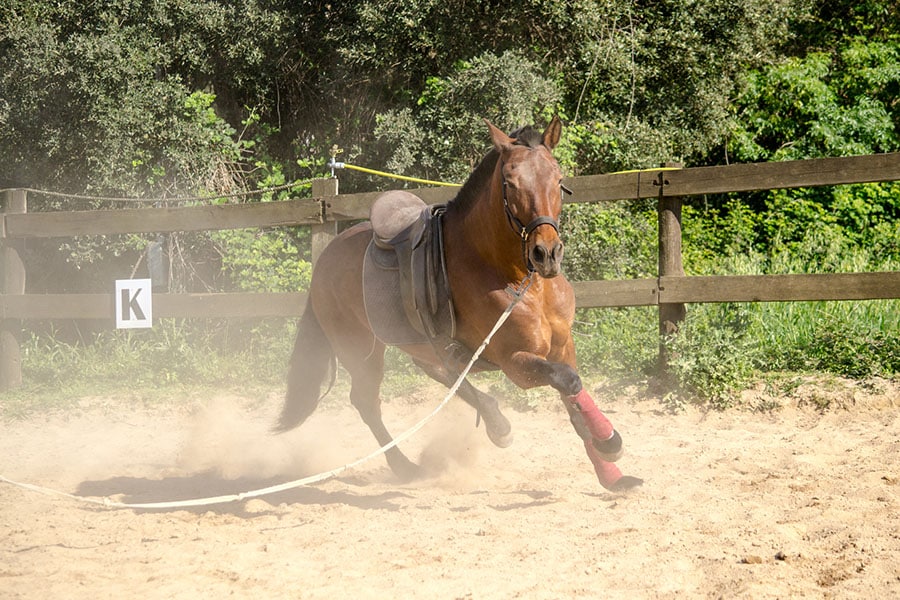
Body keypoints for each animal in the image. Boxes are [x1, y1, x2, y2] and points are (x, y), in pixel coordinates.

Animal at [278, 118, 644, 492]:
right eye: (509, 183)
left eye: (558, 178)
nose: (546, 253)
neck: (514, 278)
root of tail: (324, 259)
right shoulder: (515, 362)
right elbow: (568, 381)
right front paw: (609, 441)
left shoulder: (562, 344)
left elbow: (573, 394)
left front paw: (611, 473)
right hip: (360, 350)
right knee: (367, 402)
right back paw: (407, 466)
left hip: (423, 344)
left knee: (441, 371)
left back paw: (493, 420)